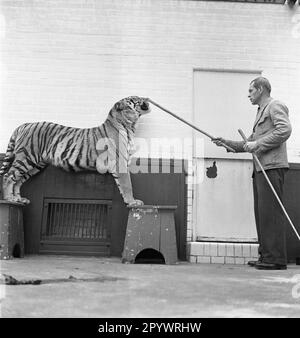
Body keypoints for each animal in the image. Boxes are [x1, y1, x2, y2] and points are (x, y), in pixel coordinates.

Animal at [0, 95, 150, 206]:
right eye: (135, 98)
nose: (146, 98)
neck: (129, 126)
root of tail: (25, 124)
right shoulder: (120, 162)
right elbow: (127, 184)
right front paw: (133, 202)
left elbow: (124, 184)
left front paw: (130, 201)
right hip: (27, 157)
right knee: (8, 176)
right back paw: (10, 199)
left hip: (36, 164)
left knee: (18, 180)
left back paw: (19, 199)